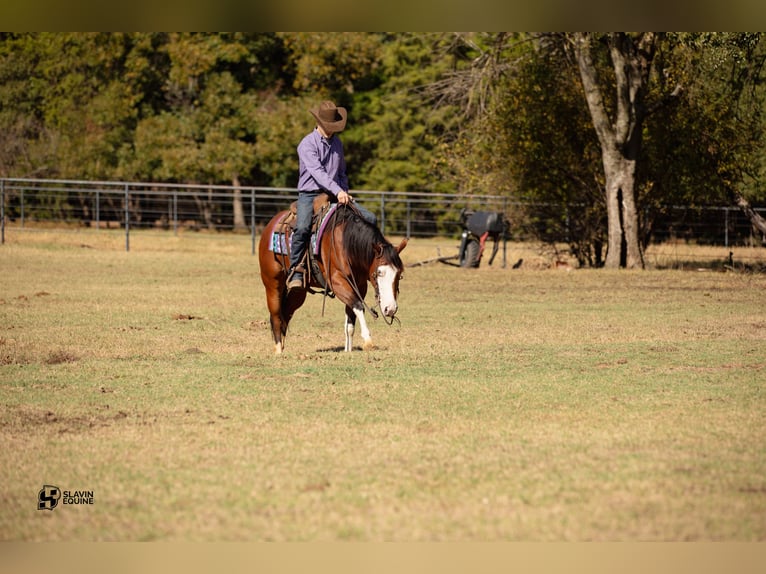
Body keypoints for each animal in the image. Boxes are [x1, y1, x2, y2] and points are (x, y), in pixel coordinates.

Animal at [260, 202, 408, 356]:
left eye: (399, 274)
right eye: (379, 272)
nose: (390, 309)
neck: (346, 244)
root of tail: (271, 224)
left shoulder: (359, 286)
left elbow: (350, 318)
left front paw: (348, 349)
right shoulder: (337, 282)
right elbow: (358, 305)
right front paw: (368, 340)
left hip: (299, 291)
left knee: (286, 312)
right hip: (272, 283)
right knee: (276, 314)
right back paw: (278, 349)